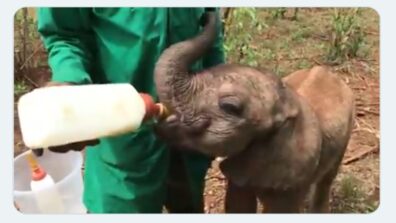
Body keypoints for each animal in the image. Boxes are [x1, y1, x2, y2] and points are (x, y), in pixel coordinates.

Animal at [153, 10, 354, 213]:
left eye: (230, 106)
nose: (206, 15)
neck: (287, 102)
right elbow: (237, 204)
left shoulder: (292, 173)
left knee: (327, 178)